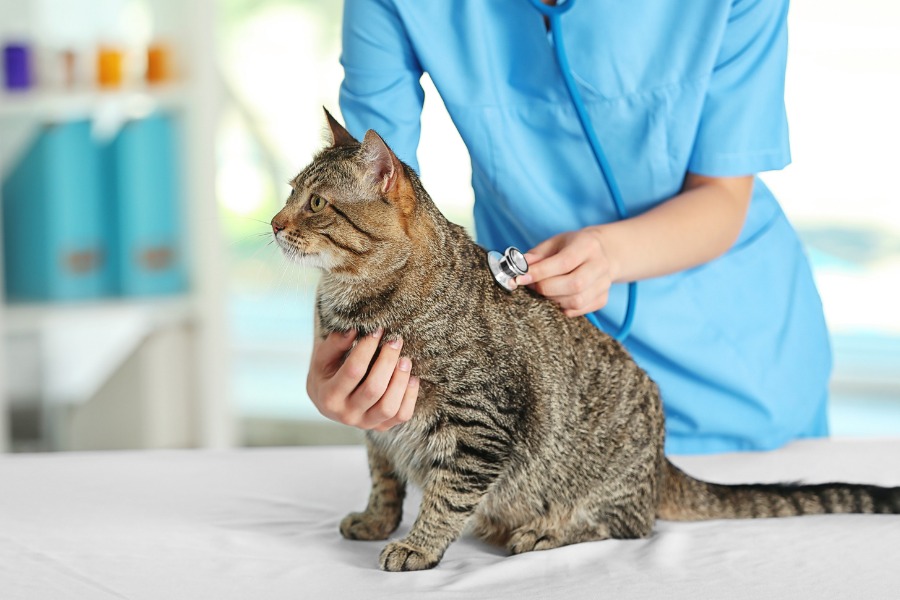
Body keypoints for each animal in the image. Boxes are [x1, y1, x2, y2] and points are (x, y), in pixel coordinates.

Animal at [272, 110, 900, 576]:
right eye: (289, 192)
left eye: (316, 203)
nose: (274, 224)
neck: (352, 301)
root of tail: (661, 464)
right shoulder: (379, 422)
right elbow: (384, 480)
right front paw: (377, 521)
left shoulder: (480, 424)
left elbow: (447, 496)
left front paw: (418, 546)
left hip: (601, 487)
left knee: (628, 527)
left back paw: (542, 533)